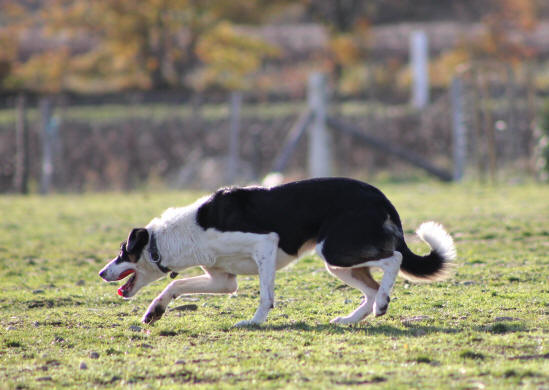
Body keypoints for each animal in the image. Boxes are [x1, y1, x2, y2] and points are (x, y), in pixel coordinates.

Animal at [97, 178, 454, 328]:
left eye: (122, 252)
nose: (101, 273)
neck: (186, 231)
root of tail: (379, 195)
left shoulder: (264, 246)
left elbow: (265, 296)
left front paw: (254, 322)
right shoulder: (224, 281)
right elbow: (174, 285)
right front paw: (153, 312)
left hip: (336, 251)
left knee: (393, 260)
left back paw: (381, 305)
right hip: (337, 263)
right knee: (370, 289)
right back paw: (352, 318)